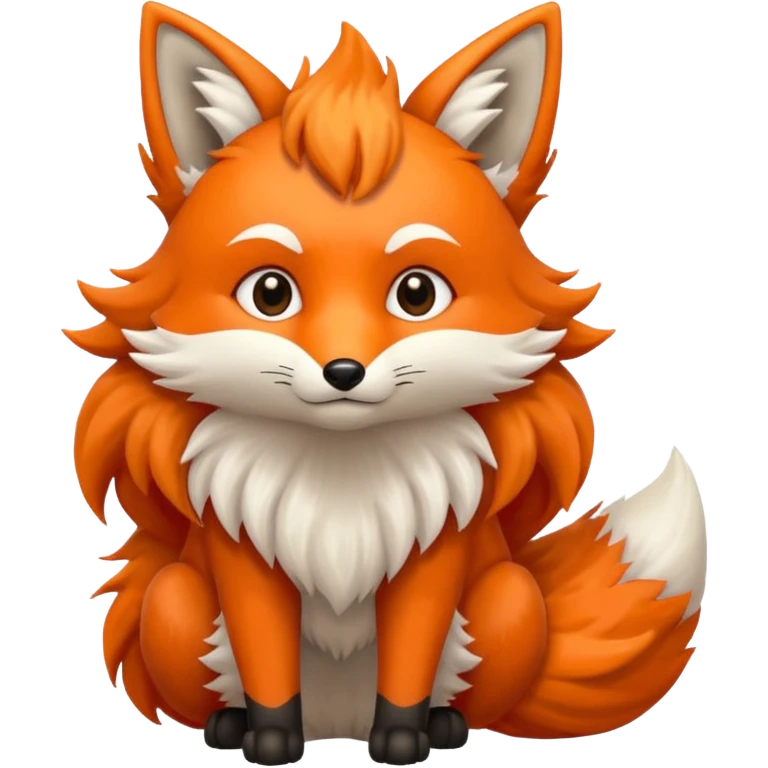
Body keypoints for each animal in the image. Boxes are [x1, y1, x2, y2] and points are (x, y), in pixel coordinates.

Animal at [66, 2, 709, 766]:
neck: (344, 484)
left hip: (509, 599)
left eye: (417, 294)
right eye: (271, 293)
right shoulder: (243, 552)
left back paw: (447, 725)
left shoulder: (435, 552)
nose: (343, 372)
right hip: (177, 599)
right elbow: (268, 668)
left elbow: (408, 665)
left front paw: (403, 740)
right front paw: (270, 741)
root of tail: (335, 723)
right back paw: (228, 726)